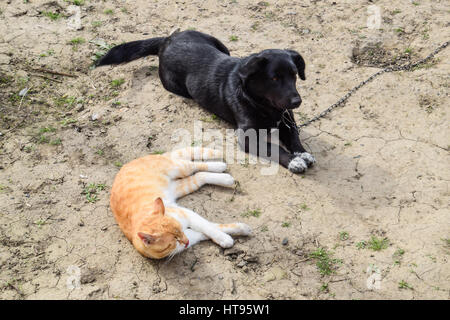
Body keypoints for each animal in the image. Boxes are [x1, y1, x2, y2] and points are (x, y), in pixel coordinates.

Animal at [97, 30, 316, 172]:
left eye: (294, 75)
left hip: (220, 44)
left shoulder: (287, 121)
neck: (262, 104)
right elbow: (275, 148)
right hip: (177, 86)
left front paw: (302, 154)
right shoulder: (247, 137)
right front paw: (294, 161)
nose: (297, 101)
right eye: (275, 78)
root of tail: (167, 39)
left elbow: (295, 138)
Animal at [109, 148, 250, 260]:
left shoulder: (188, 214)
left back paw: (220, 166)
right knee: (200, 176)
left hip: (179, 168)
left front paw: (225, 235)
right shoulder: (189, 234)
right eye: (174, 241)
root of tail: (128, 163)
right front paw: (234, 233)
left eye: (180, 231)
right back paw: (225, 177)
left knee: (195, 165)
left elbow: (208, 227)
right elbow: (210, 228)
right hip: (185, 185)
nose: (186, 242)